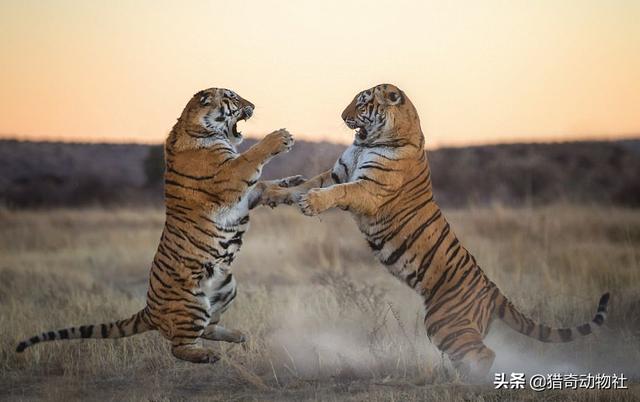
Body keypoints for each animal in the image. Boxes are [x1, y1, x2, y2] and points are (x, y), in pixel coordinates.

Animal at [15, 88, 302, 364]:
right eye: (232, 97)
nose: (252, 105)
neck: (199, 128)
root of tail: (149, 311)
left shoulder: (246, 195)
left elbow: (269, 187)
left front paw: (296, 187)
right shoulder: (229, 177)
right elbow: (250, 158)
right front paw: (280, 138)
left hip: (227, 286)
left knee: (208, 328)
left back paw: (239, 335)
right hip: (192, 304)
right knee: (180, 346)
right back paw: (207, 355)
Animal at [264, 82, 608, 380]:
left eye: (362, 103)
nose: (341, 115)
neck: (371, 141)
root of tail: (492, 289)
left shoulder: (368, 189)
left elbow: (337, 192)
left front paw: (310, 202)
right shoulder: (338, 172)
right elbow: (307, 183)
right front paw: (273, 192)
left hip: (445, 323)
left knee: (485, 355)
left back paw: (467, 384)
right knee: (471, 355)